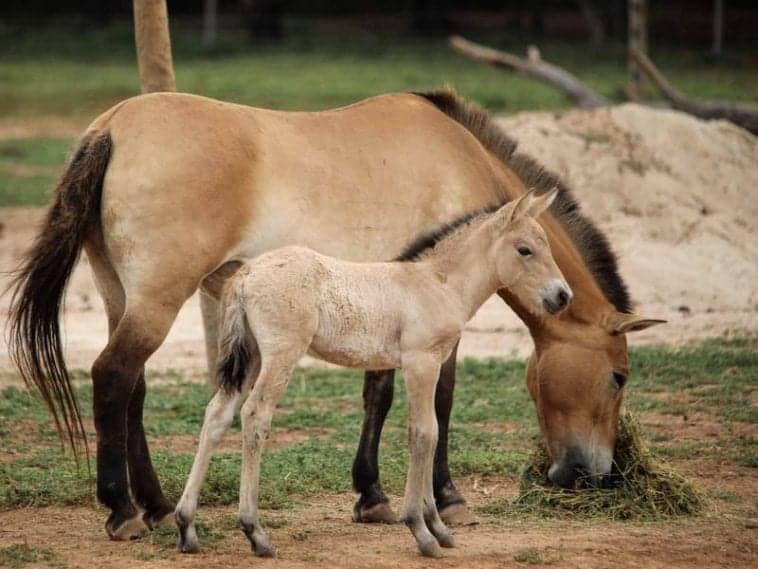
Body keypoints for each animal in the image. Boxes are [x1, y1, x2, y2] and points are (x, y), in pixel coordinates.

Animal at [175, 190, 571, 558]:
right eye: (525, 250)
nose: (562, 296)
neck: (438, 283)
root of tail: (246, 273)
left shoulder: (425, 364)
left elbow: (430, 431)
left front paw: (438, 527)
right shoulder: (421, 362)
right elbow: (423, 434)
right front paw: (422, 530)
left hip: (252, 357)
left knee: (216, 415)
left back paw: (186, 527)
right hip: (280, 354)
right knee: (255, 416)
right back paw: (255, 531)